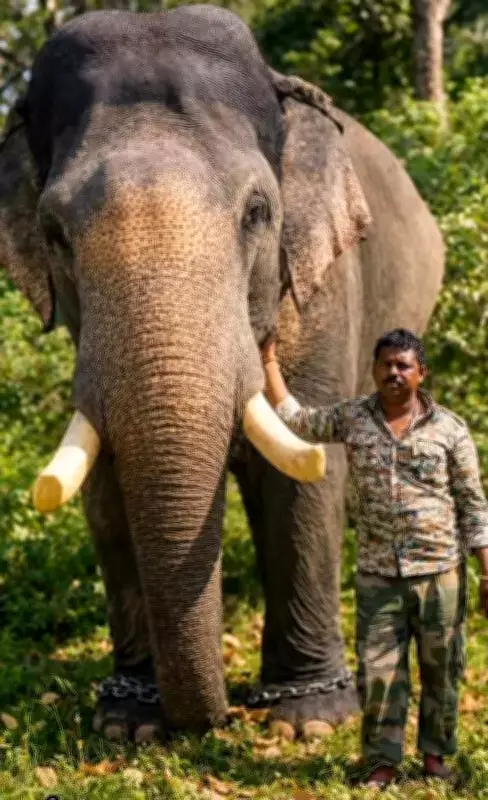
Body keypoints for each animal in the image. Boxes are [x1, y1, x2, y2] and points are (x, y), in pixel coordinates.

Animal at [0, 4, 444, 743]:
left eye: (258, 213)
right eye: (55, 231)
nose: (216, 721)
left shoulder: (324, 290)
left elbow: (306, 477)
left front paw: (308, 721)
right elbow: (107, 483)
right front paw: (128, 722)